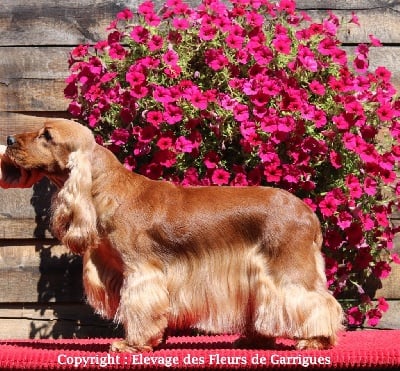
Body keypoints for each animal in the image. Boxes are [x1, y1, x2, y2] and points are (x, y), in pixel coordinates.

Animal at [2, 120, 340, 354]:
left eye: (47, 135)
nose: (8, 139)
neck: (106, 190)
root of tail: (310, 214)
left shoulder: (141, 271)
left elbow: (139, 308)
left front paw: (131, 345)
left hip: (289, 268)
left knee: (318, 302)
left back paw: (316, 340)